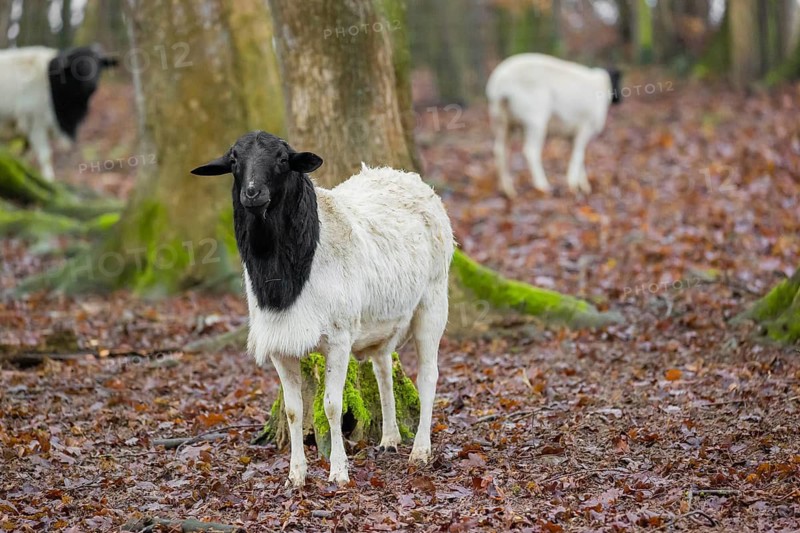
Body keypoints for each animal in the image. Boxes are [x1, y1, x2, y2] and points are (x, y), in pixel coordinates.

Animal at [0, 45, 117, 180]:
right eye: (78, 66)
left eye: (99, 63)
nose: (92, 84)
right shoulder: (35, 121)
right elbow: (45, 155)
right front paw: (49, 179)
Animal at [191, 131, 453, 487]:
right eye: (233, 161)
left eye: (282, 159)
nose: (252, 192)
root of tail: (406, 177)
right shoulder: (280, 343)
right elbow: (294, 410)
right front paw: (295, 475)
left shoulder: (339, 338)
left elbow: (332, 405)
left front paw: (338, 472)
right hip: (383, 321)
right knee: (384, 369)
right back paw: (389, 438)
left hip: (433, 299)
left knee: (428, 375)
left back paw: (421, 451)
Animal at [486, 53, 621, 197]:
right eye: (618, 80)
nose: (620, 99)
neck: (600, 85)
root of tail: (500, 85)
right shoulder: (584, 128)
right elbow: (578, 156)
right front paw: (573, 186)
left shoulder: (572, 136)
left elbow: (579, 158)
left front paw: (584, 187)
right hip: (535, 119)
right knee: (530, 151)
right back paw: (543, 186)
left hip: (502, 121)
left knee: (500, 151)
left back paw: (508, 191)